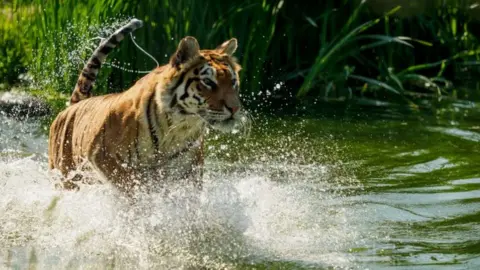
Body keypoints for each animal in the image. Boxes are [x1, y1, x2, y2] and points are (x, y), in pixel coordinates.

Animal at [47, 19, 249, 196]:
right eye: (208, 82)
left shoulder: (189, 170)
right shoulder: (102, 156)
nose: (235, 109)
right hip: (66, 177)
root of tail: (74, 105)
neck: (179, 127)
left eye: (233, 82)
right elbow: (131, 189)